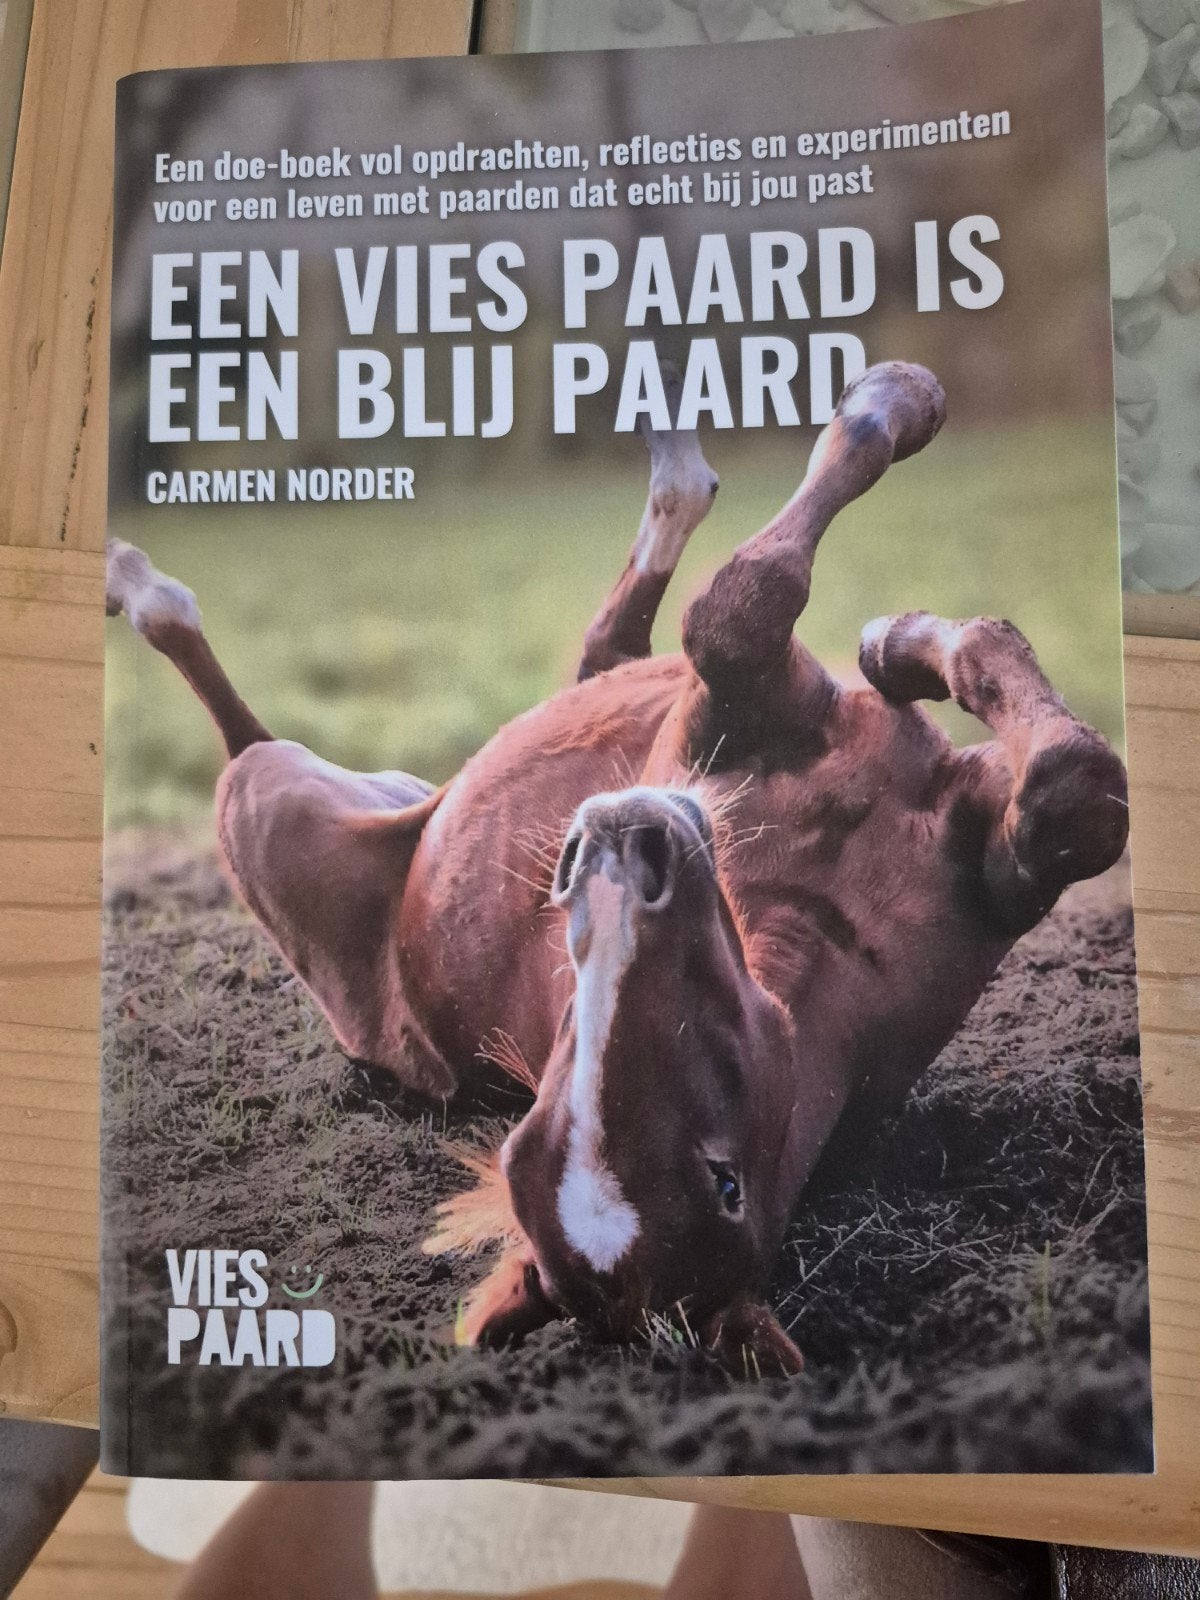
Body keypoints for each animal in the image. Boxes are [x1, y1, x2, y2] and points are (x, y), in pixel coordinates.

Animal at [106, 360, 1128, 1374]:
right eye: (721, 1181)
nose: (618, 846)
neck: (824, 913)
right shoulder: (720, 705)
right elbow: (741, 605)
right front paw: (898, 417)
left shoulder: (989, 867)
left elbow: (1074, 802)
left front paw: (903, 640)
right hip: (266, 801)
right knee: (238, 722)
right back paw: (142, 586)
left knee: (608, 643)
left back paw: (681, 458)